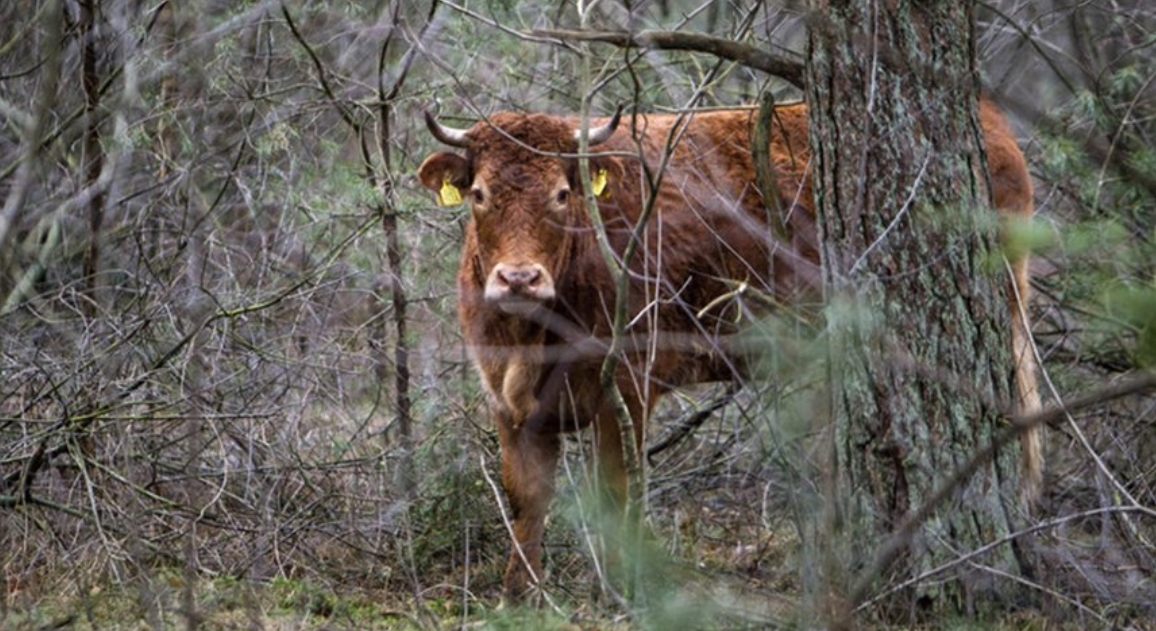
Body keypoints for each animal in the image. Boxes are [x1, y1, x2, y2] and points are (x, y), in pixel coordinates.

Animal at [418, 99, 1040, 600]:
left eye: (562, 194)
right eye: (479, 194)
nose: (519, 279)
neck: (531, 337)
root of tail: (990, 118)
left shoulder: (627, 389)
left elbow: (617, 491)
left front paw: (621, 590)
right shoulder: (508, 402)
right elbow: (526, 498)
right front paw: (518, 596)